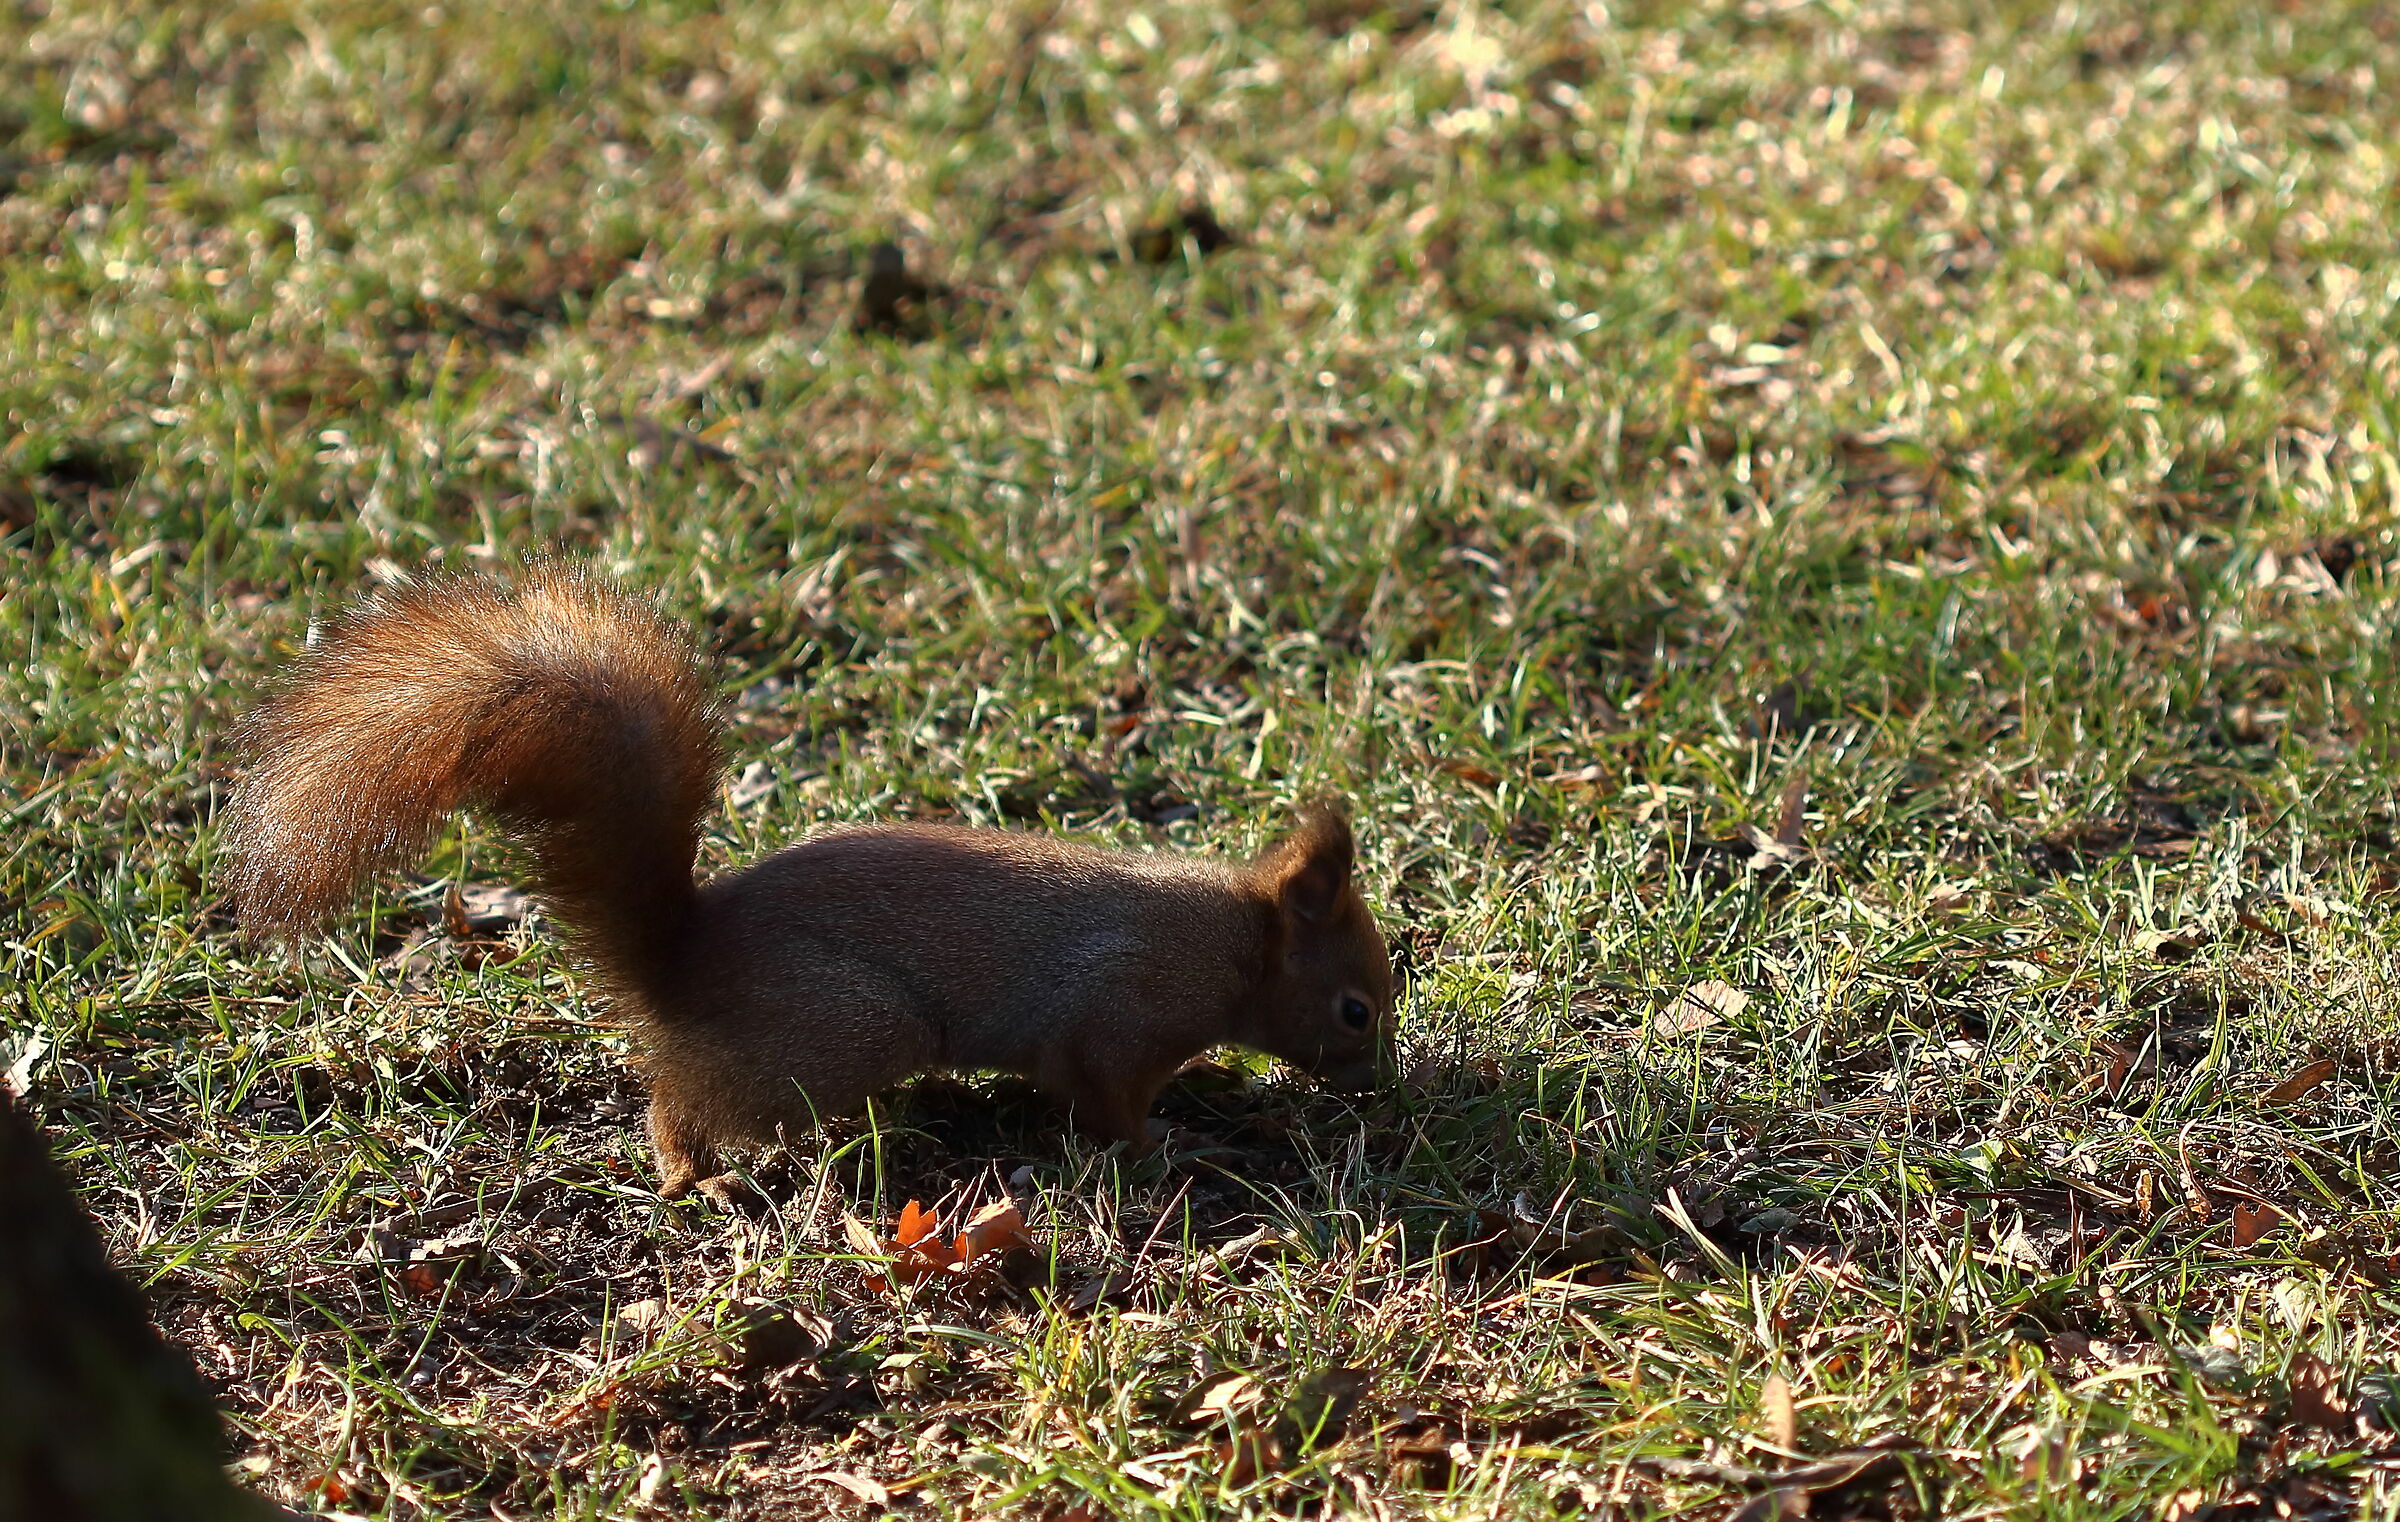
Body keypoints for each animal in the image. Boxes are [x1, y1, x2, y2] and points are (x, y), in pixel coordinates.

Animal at [220, 565, 1394, 1201]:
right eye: (1354, 1008)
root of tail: (681, 963)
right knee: (681, 1100)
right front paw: (1172, 1144)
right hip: (850, 1029)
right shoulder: (1119, 1010)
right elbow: (1102, 1100)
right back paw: (700, 1172)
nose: (1381, 1088)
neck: (1237, 942)